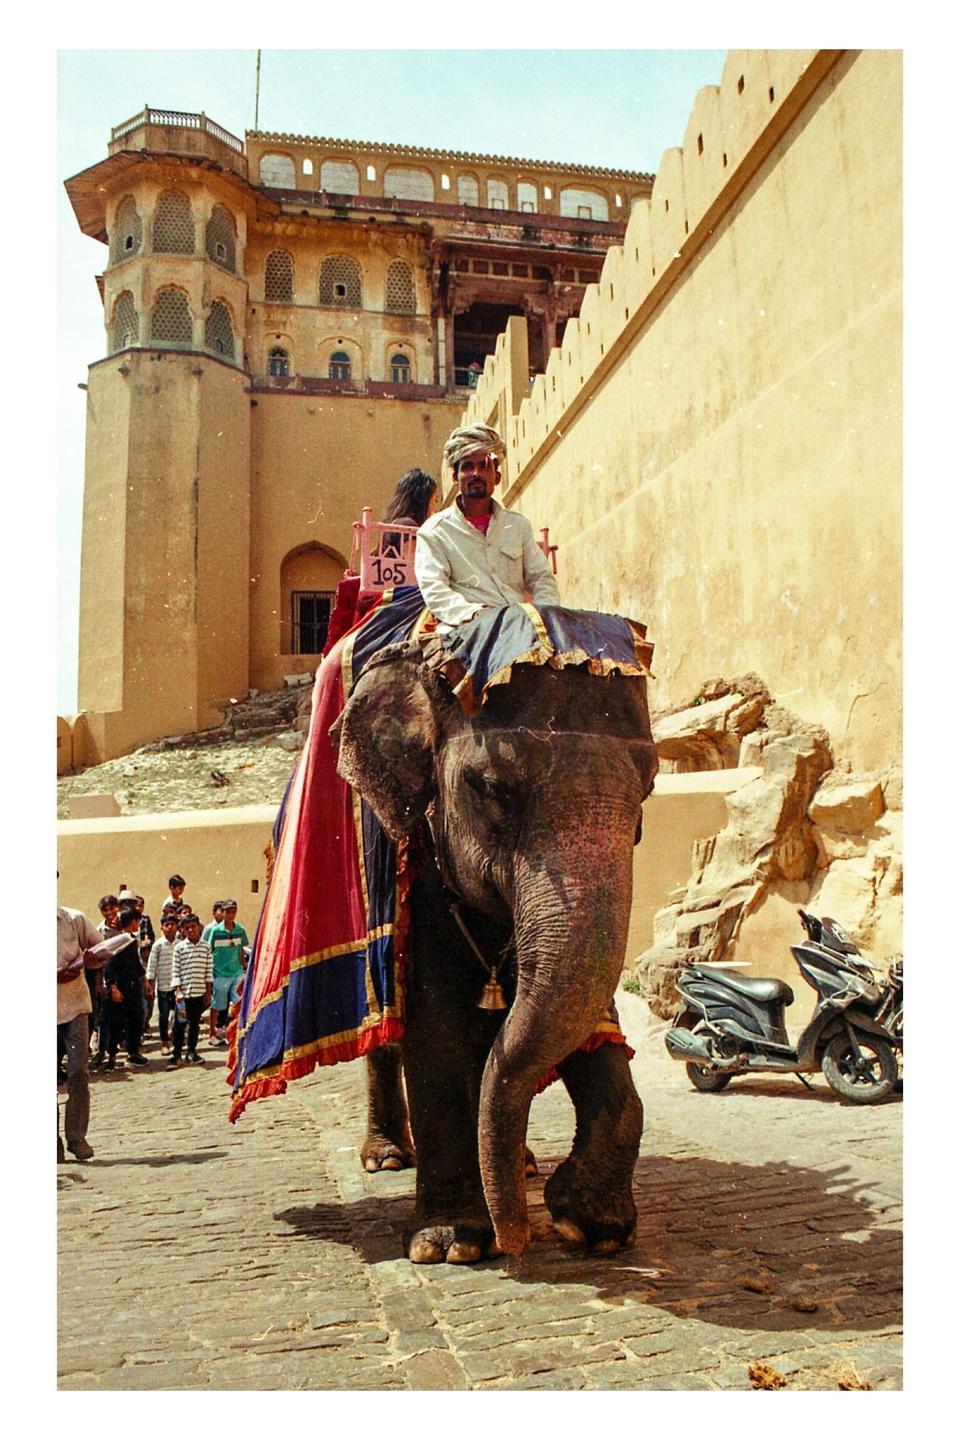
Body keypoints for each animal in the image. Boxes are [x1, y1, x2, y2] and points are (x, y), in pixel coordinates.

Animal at [332, 638, 658, 1262]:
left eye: (650, 783)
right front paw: (452, 1244)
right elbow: (435, 1028)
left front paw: (594, 1226)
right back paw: (387, 1159)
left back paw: (520, 1164)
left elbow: (588, 1016)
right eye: (491, 787)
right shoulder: (419, 865)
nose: (520, 1242)